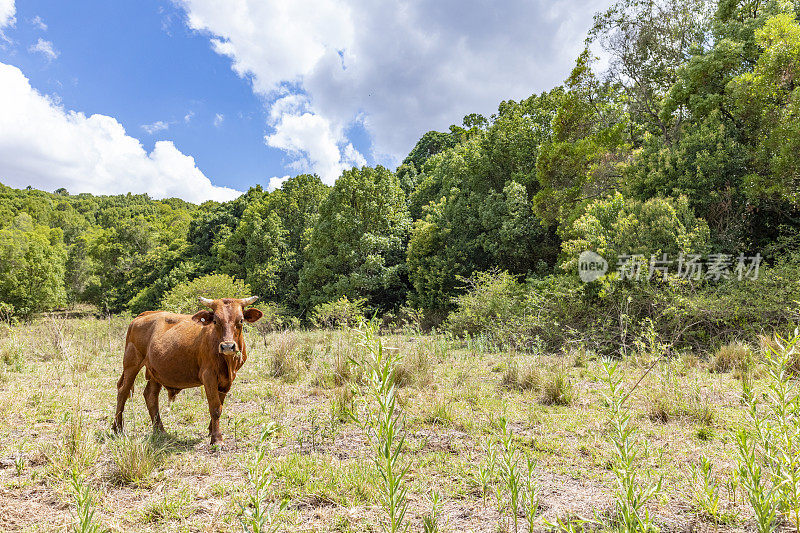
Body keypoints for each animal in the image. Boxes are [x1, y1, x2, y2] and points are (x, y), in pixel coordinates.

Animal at [111, 296, 262, 444]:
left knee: (150, 396)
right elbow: (215, 407)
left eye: (240, 320)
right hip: (131, 363)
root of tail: (145, 315)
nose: (227, 346)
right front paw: (217, 439)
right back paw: (118, 427)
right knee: (123, 391)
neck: (228, 362)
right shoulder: (208, 375)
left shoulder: (228, 379)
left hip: (155, 370)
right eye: (215, 321)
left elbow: (220, 405)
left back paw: (160, 430)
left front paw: (211, 430)